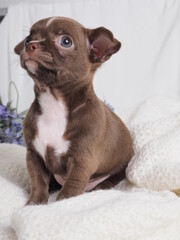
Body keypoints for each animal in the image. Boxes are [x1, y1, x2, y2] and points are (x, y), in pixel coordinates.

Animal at [14, 16, 134, 204]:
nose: (30, 45)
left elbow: (71, 188)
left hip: (119, 169)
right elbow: (38, 181)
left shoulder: (81, 161)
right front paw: (34, 203)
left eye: (65, 41)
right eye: (27, 39)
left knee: (111, 179)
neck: (53, 103)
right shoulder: (34, 155)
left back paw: (101, 187)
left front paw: (63, 204)